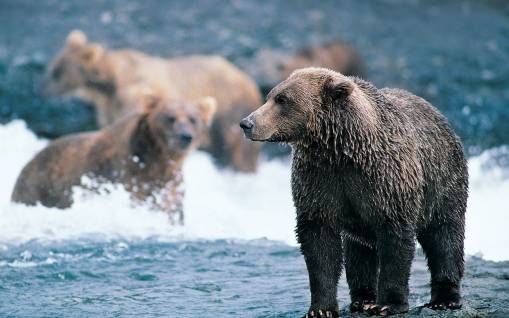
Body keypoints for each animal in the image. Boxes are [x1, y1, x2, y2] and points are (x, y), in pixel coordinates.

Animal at [11, 93, 214, 224]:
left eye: (193, 119)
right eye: (170, 117)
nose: (185, 136)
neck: (157, 158)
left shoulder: (169, 184)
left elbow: (170, 207)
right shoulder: (120, 174)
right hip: (39, 187)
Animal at [42, 29, 262, 173]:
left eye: (57, 72)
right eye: (53, 67)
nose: (42, 88)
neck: (108, 85)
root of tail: (249, 81)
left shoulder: (133, 94)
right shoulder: (110, 106)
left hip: (230, 112)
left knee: (238, 152)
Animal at [240, 68, 466, 316]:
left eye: (282, 99)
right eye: (270, 96)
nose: (246, 123)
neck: (340, 148)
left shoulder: (386, 180)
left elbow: (396, 240)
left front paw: (388, 304)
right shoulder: (319, 181)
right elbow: (319, 245)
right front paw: (321, 309)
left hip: (442, 183)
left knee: (444, 237)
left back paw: (444, 298)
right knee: (358, 252)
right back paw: (363, 299)